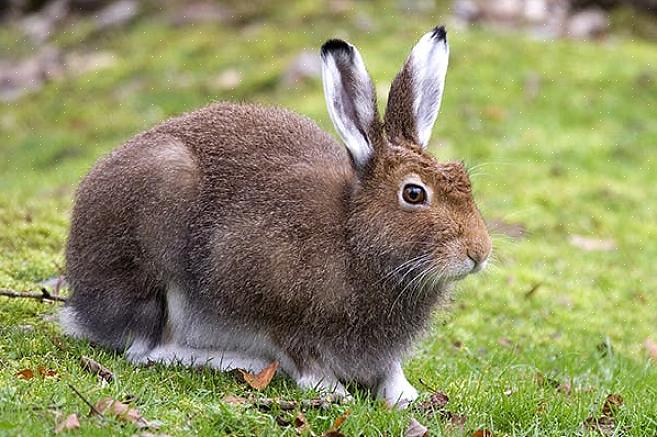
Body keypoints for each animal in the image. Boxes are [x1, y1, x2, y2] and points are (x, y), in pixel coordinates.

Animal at [61, 24, 490, 406]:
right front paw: (329, 389)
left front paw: (404, 395)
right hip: (155, 250)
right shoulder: (265, 295)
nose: (479, 252)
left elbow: (389, 368)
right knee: (146, 349)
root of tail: (83, 303)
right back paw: (236, 361)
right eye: (414, 193)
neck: (355, 239)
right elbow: (297, 350)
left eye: (465, 179)